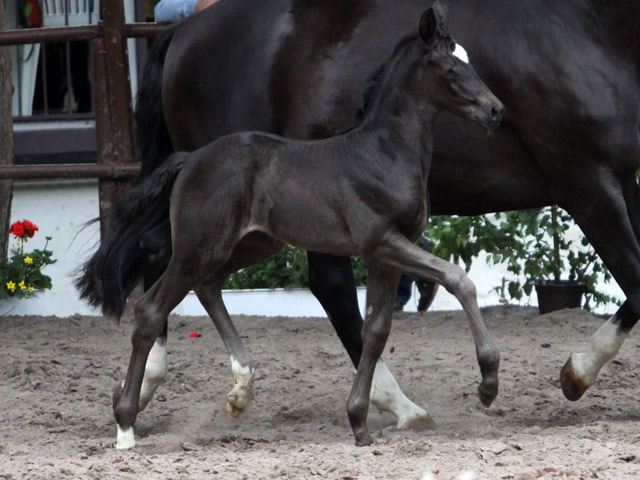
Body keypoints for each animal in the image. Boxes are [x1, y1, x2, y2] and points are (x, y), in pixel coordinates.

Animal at [80, 0, 640, 430]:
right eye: (452, 68)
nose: (496, 111)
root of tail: (183, 31)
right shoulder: (584, 180)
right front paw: (539, 378)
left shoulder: (622, 177)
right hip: (220, 227)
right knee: (170, 280)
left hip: (254, 235)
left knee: (208, 275)